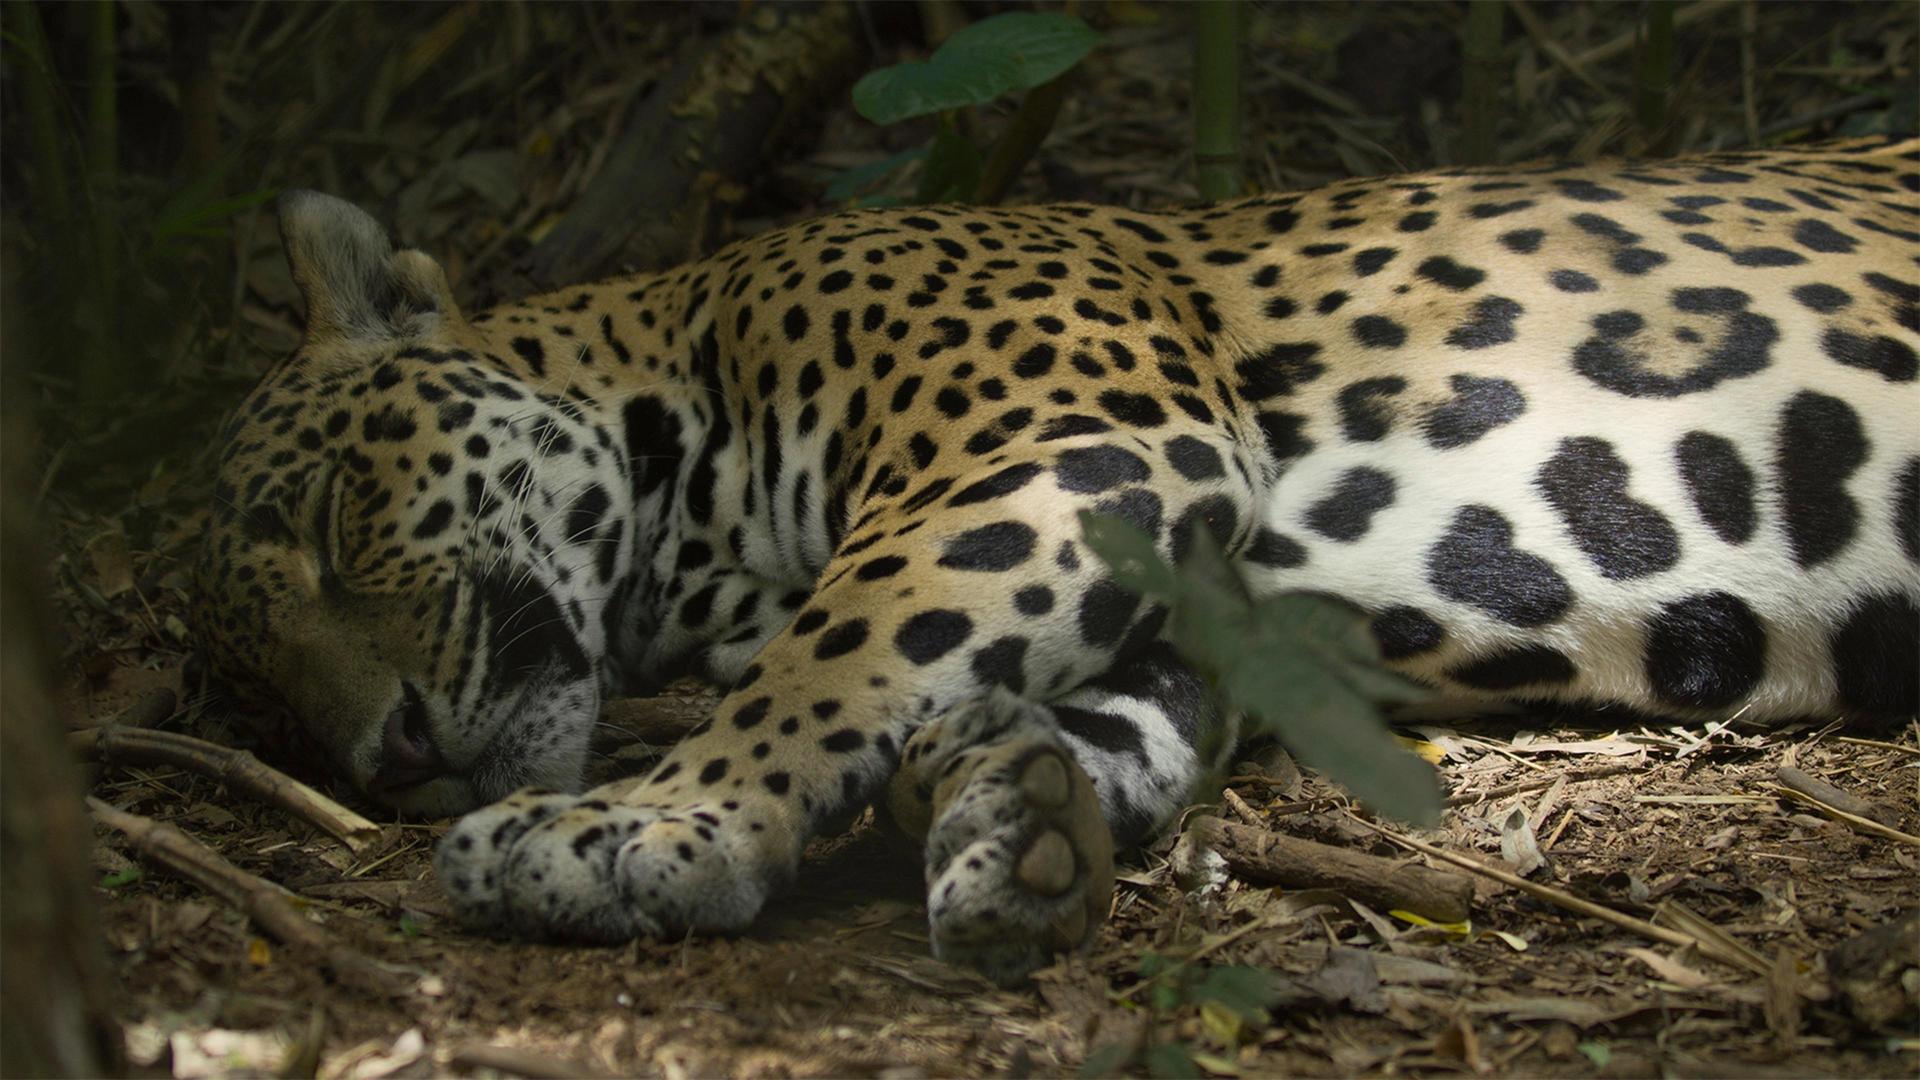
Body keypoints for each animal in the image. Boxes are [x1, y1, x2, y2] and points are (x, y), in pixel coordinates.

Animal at [195, 137, 1920, 985]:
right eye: (265, 701)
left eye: (336, 520)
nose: (390, 754)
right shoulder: (1202, 594)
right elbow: (1084, 708)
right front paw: (1020, 817)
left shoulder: (1074, 448)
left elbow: (840, 657)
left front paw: (643, 826)